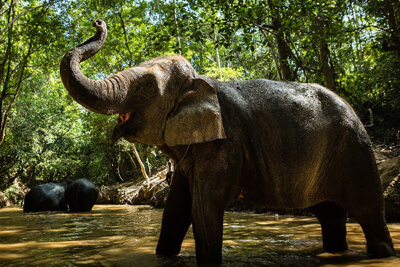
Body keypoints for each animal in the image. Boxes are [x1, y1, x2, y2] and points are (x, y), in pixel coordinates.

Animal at [59, 19, 396, 264]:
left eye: (146, 87)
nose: (97, 22)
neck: (201, 82)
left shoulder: (225, 144)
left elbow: (204, 208)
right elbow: (176, 209)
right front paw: (164, 255)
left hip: (356, 151)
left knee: (369, 214)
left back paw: (383, 253)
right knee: (330, 215)